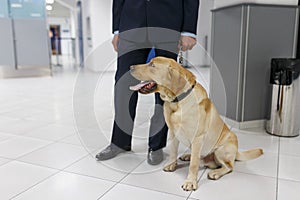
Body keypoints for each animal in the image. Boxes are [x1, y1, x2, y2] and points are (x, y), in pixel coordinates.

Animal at [129, 56, 262, 191]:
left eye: (152, 65)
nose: (130, 67)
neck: (178, 101)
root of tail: (236, 152)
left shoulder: (198, 137)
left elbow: (193, 164)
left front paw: (190, 182)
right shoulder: (173, 132)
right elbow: (173, 152)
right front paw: (172, 164)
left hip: (221, 150)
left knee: (228, 167)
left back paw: (215, 173)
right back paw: (187, 156)